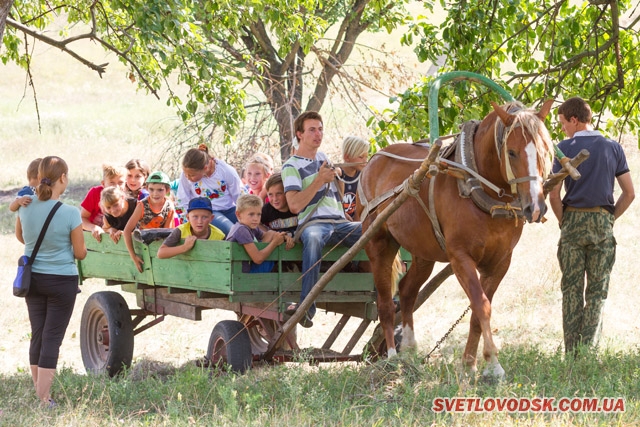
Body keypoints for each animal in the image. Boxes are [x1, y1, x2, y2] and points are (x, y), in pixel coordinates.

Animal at [356, 99, 556, 378]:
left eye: (546, 151)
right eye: (512, 152)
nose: (535, 207)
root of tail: (374, 160)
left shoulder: (500, 262)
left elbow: (477, 312)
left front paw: (470, 364)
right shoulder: (460, 257)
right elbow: (481, 305)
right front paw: (493, 365)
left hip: (423, 253)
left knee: (407, 292)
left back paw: (409, 351)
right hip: (379, 244)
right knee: (385, 304)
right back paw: (393, 359)